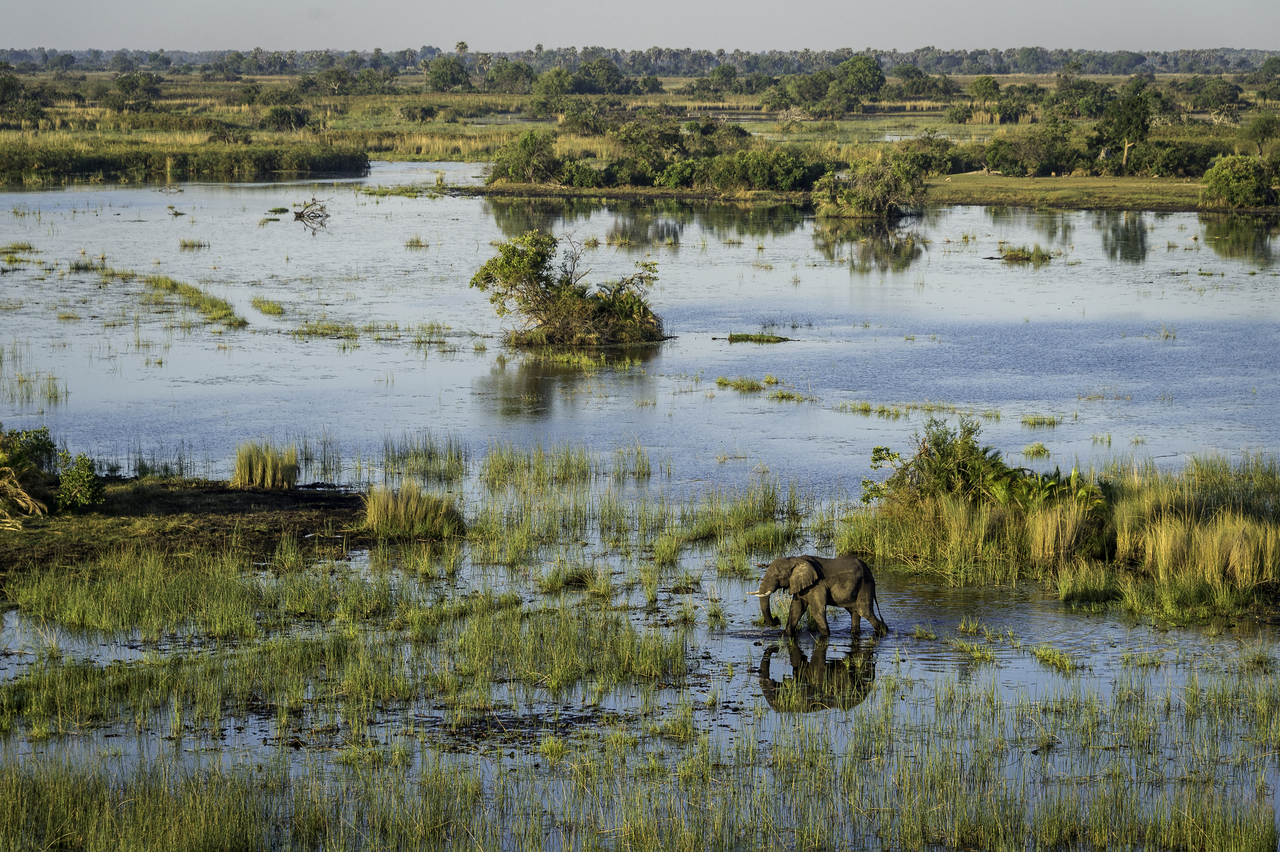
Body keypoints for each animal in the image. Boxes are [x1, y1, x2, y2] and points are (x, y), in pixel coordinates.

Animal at [747, 555, 890, 634]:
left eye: (777, 576)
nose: (777, 619)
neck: (794, 560)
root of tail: (868, 569)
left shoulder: (817, 585)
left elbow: (817, 611)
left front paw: (826, 635)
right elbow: (796, 609)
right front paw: (786, 634)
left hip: (865, 586)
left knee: (865, 612)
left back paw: (884, 631)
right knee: (854, 612)